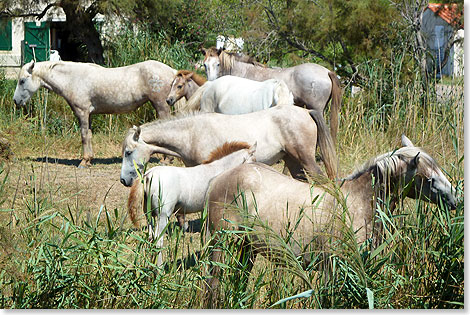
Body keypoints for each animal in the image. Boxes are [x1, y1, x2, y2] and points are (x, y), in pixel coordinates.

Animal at [13, 59, 178, 168]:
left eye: (22, 81)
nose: (16, 101)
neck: (72, 78)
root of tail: (172, 72)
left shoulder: (82, 113)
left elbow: (84, 136)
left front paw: (84, 162)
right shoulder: (89, 115)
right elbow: (89, 135)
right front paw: (89, 160)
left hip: (161, 106)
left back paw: (166, 160)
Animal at [119, 105, 336, 188]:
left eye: (128, 152)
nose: (123, 180)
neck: (192, 133)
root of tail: (306, 111)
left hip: (306, 159)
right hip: (292, 161)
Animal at [126, 142, 258, 268]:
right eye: (253, 162)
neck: (219, 171)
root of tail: (148, 175)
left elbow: (206, 237)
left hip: (150, 215)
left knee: (150, 238)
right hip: (163, 215)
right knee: (158, 241)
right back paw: (159, 269)